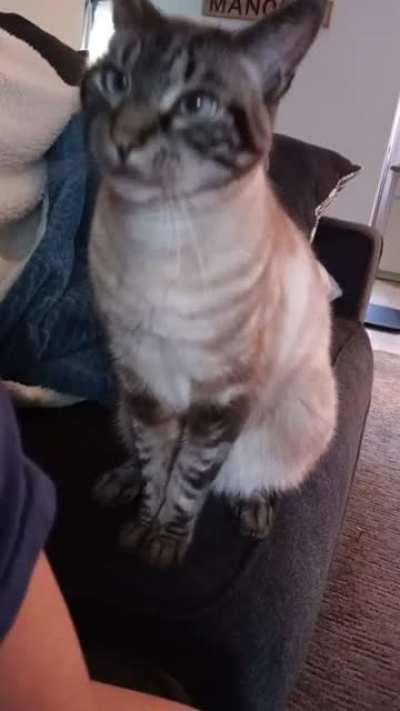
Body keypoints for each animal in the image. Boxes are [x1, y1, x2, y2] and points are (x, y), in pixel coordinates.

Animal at [82, 0, 336, 568]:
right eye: (115, 80)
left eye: (195, 103)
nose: (123, 138)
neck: (158, 231)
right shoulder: (143, 383)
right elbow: (157, 466)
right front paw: (142, 528)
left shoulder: (222, 400)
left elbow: (189, 481)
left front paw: (164, 547)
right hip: (121, 398)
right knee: (141, 453)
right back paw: (115, 485)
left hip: (300, 413)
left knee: (251, 478)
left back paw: (254, 512)